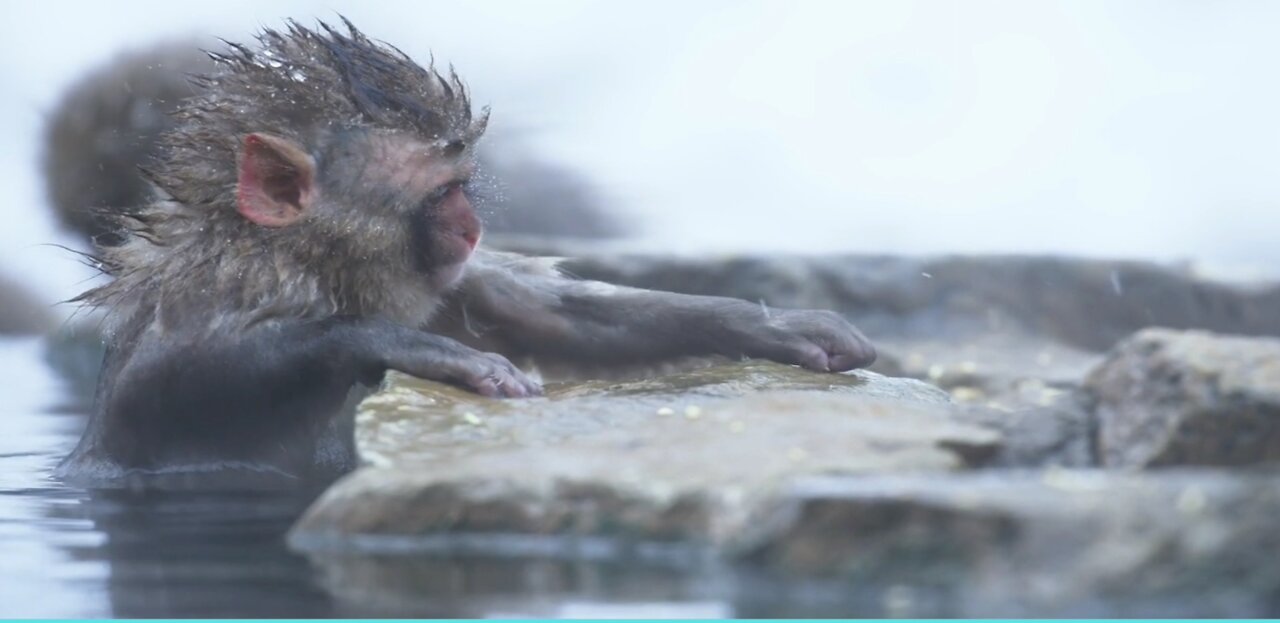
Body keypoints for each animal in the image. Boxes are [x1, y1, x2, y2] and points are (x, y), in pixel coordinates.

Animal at [55, 19, 875, 486]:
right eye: (440, 192)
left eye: (463, 184)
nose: (471, 227)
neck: (305, 270)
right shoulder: (202, 304)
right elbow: (166, 389)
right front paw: (414, 349)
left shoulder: (449, 283)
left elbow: (561, 317)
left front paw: (775, 324)